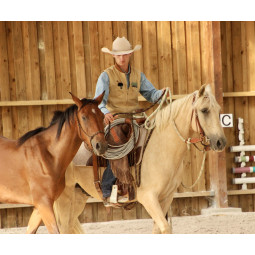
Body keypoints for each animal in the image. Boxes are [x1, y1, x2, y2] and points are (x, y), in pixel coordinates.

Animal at [0, 92, 106, 234]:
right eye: (84, 117)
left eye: (102, 116)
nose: (101, 145)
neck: (48, 157)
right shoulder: (44, 204)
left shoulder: (39, 207)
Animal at [53, 84, 225, 234]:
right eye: (204, 110)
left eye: (218, 110)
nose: (220, 142)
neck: (161, 148)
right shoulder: (149, 197)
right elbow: (165, 227)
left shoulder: (166, 198)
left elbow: (158, 229)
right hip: (63, 197)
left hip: (77, 196)